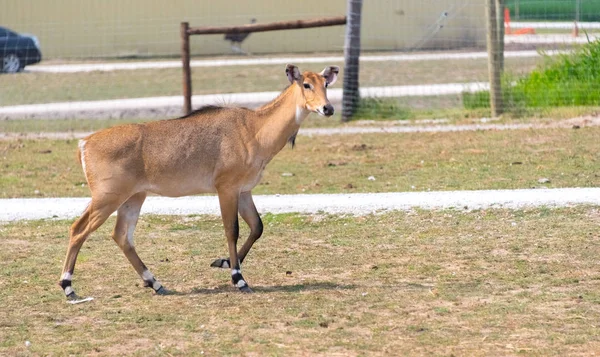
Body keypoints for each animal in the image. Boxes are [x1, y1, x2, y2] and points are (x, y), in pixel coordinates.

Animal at [58, 64, 340, 298]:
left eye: (325, 84)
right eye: (306, 84)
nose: (328, 108)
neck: (255, 129)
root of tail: (85, 143)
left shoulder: (244, 190)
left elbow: (257, 226)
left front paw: (223, 262)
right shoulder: (226, 188)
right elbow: (232, 229)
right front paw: (238, 278)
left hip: (134, 197)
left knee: (121, 236)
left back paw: (156, 283)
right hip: (107, 197)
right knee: (78, 229)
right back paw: (68, 286)